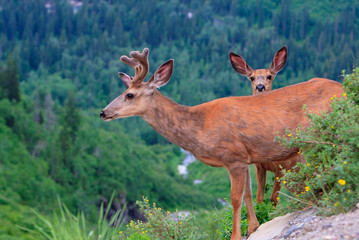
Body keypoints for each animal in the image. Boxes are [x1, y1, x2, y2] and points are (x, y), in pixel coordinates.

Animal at [231, 45, 304, 206]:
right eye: (252, 77)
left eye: (269, 76)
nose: (260, 86)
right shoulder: (259, 166)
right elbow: (259, 198)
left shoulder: (282, 166)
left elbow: (273, 199)